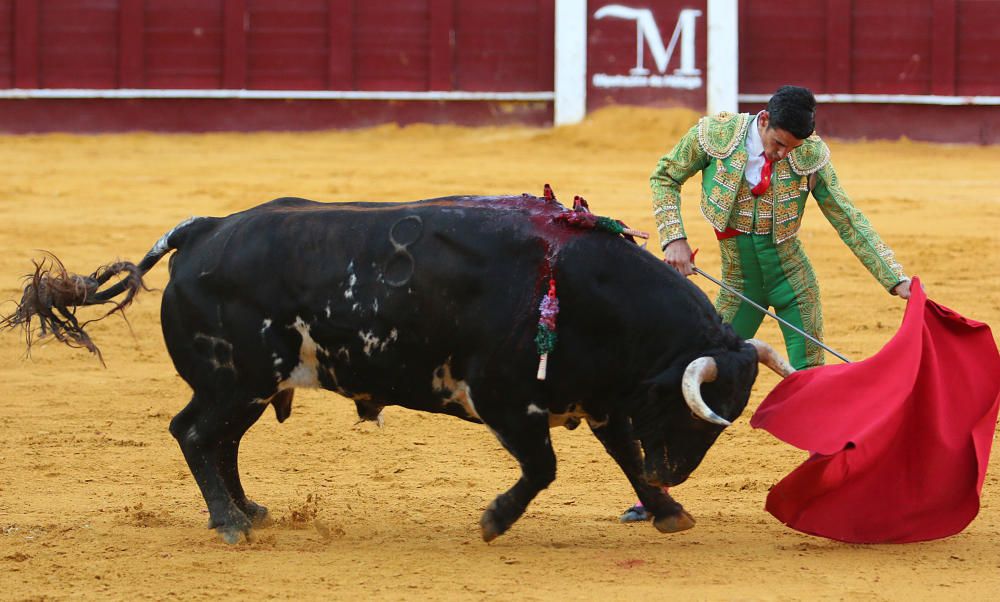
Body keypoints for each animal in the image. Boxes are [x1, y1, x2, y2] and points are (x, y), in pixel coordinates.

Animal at [1, 195, 788, 540]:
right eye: (694, 412)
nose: (673, 472)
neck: (579, 285)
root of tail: (204, 230)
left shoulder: (594, 401)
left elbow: (621, 456)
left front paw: (668, 511)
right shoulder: (508, 401)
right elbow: (543, 469)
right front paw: (494, 520)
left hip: (251, 387)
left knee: (219, 442)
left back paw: (249, 510)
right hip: (236, 381)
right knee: (194, 434)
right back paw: (229, 523)